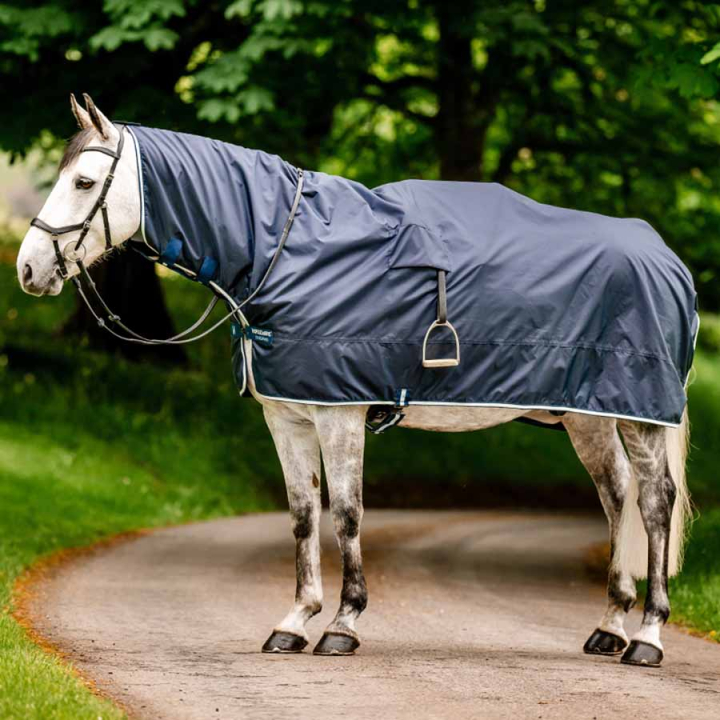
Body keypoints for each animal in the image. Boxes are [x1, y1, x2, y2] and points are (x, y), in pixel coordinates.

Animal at [16, 94, 694, 667]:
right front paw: (294, 622)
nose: (27, 268)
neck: (286, 249)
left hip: (640, 416)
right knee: (616, 497)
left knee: (655, 503)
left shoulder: (339, 411)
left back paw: (648, 637)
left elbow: (345, 513)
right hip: (589, 415)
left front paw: (343, 624)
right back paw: (610, 625)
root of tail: (667, 258)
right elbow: (301, 514)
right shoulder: (287, 414)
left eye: (82, 182)